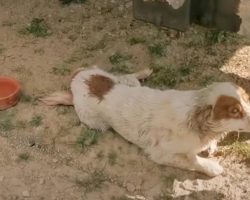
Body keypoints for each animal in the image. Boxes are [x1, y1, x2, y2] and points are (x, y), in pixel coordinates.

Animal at [41, 67, 250, 177]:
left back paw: (143, 72)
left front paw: (212, 146)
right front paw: (212, 167)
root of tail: (79, 77)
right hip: (95, 123)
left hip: (120, 80)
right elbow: (193, 161)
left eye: (247, 99)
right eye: (234, 111)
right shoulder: (160, 154)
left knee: (128, 76)